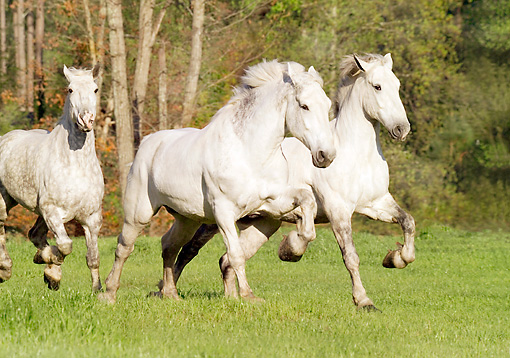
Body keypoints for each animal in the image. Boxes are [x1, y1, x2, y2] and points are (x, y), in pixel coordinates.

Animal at [99, 60, 336, 304]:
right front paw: (248, 295)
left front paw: (291, 249)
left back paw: (171, 294)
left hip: (186, 219)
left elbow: (307, 204)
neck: (249, 152)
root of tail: (147, 143)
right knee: (124, 247)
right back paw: (108, 294)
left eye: (327, 104)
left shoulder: (272, 203)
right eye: (304, 106)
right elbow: (236, 254)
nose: (326, 155)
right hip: (139, 214)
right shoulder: (224, 211)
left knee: (169, 245)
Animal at [173, 53, 416, 310]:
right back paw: (167, 291)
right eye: (377, 86)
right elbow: (351, 256)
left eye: (397, 86)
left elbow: (408, 222)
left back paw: (232, 297)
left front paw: (395, 258)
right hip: (214, 219)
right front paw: (363, 300)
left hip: (259, 224)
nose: (401, 129)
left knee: (226, 259)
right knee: (188, 251)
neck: (357, 154)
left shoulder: (376, 204)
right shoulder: (338, 210)